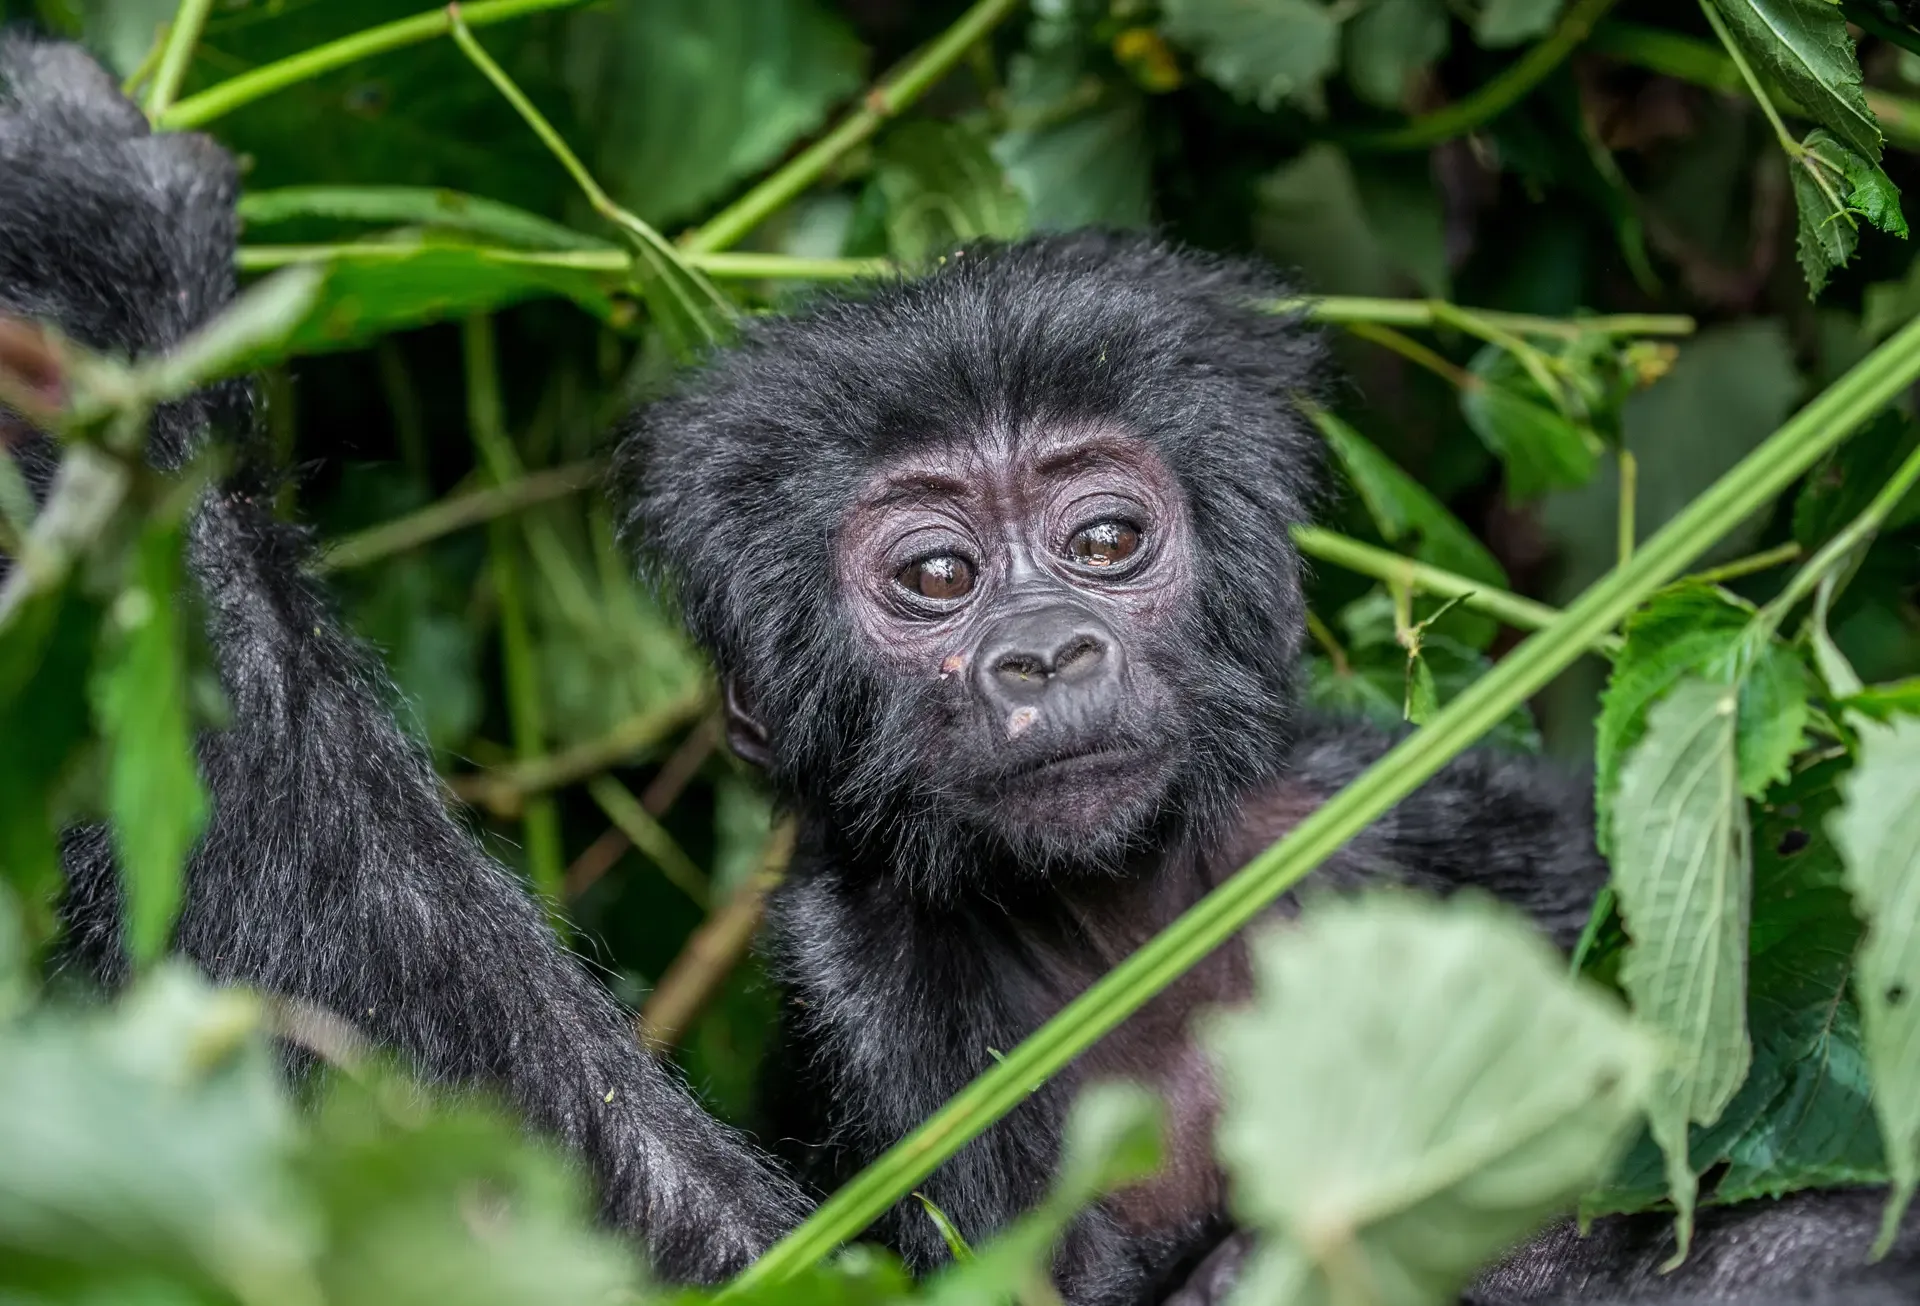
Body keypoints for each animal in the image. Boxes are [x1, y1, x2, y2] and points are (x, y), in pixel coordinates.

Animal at [616, 232, 1920, 1305]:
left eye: (1104, 541)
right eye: (936, 575)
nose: (1046, 653)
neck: (1129, 928)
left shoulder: (1405, 809)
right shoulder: (861, 976)